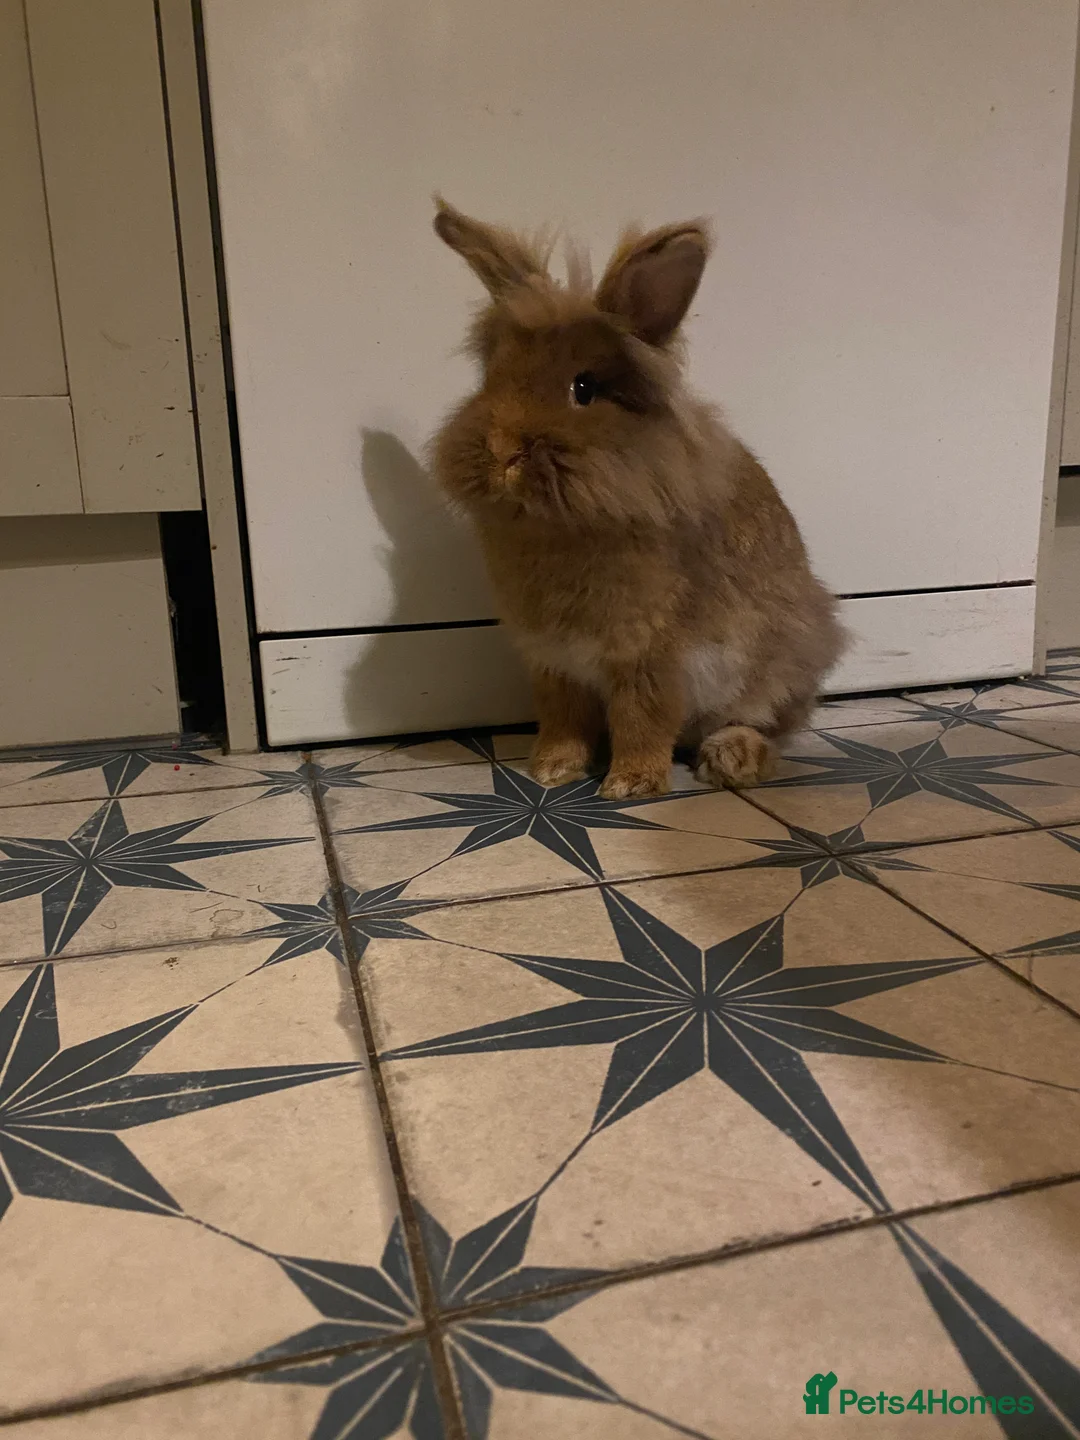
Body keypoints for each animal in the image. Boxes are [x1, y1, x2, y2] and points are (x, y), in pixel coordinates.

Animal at [430, 197, 845, 799]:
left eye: (583, 388)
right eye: (492, 377)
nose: (503, 451)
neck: (559, 522)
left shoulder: (650, 658)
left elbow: (641, 718)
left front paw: (630, 785)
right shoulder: (553, 664)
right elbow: (563, 719)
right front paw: (551, 770)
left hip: (777, 665)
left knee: (769, 727)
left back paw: (732, 759)